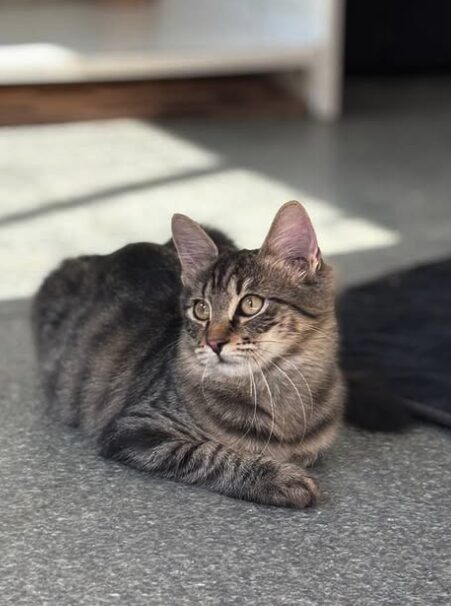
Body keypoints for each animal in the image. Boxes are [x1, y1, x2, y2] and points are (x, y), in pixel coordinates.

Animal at [34, 203, 346, 508]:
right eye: (201, 309)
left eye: (251, 304)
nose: (214, 343)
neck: (275, 385)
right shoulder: (136, 428)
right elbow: (213, 454)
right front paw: (278, 477)